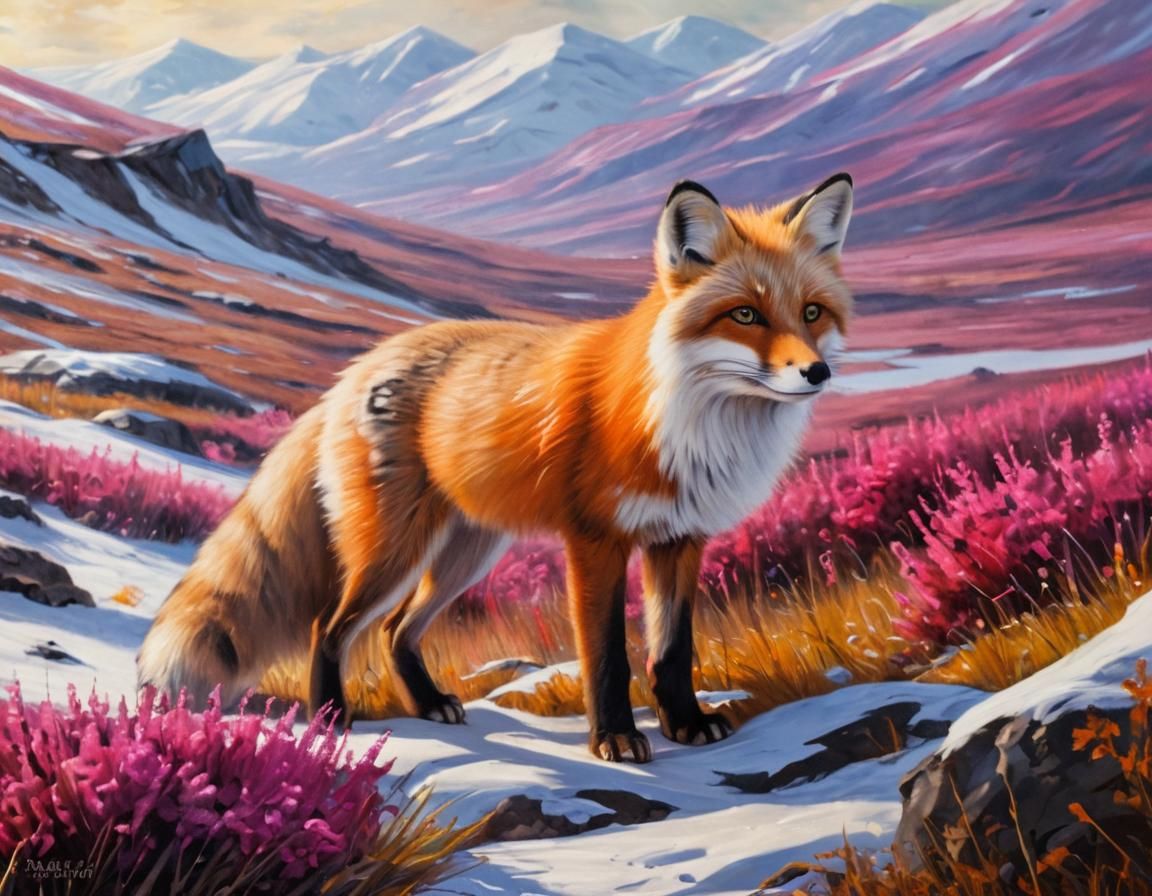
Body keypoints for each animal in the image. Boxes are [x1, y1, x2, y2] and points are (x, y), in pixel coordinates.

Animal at [137, 172, 855, 763]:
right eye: (745, 315)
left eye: (811, 313)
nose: (816, 372)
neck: (687, 425)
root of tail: (360, 365)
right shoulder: (595, 542)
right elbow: (607, 657)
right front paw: (616, 739)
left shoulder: (680, 539)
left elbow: (673, 652)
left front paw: (686, 723)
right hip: (395, 553)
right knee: (331, 627)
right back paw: (330, 719)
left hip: (466, 553)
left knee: (396, 632)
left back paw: (429, 704)